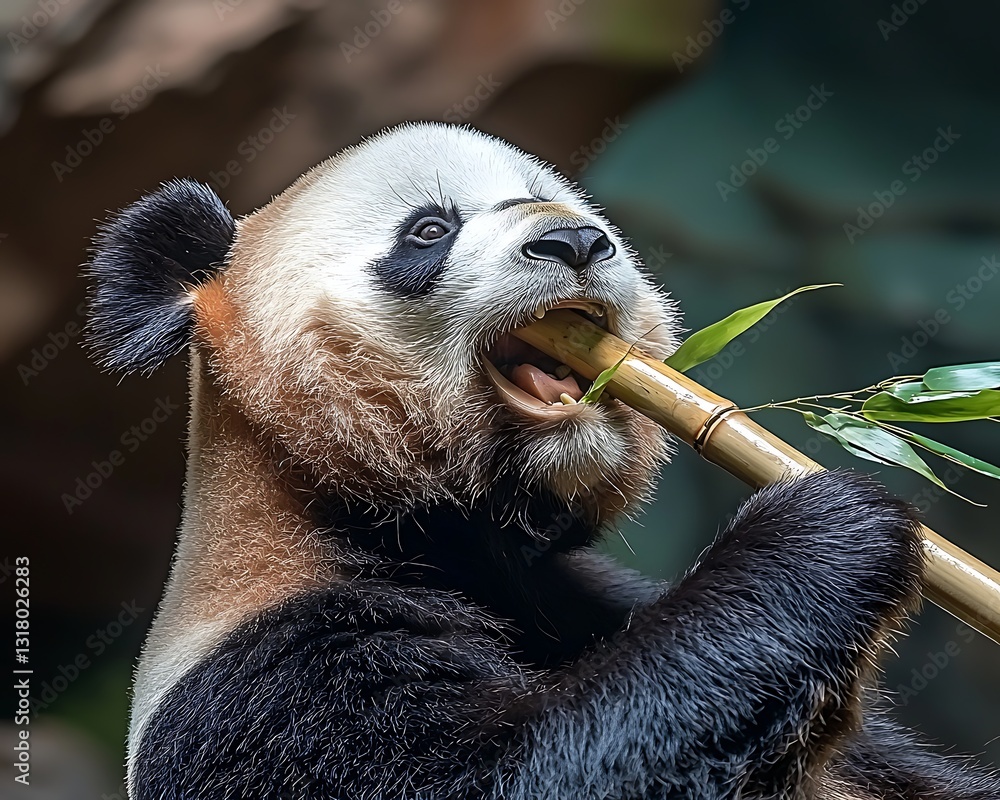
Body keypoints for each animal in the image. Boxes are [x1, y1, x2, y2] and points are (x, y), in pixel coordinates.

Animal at [85, 122, 998, 799]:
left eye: (550, 198)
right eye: (430, 229)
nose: (575, 241)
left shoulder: (583, 594)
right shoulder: (276, 683)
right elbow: (520, 774)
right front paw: (828, 527)